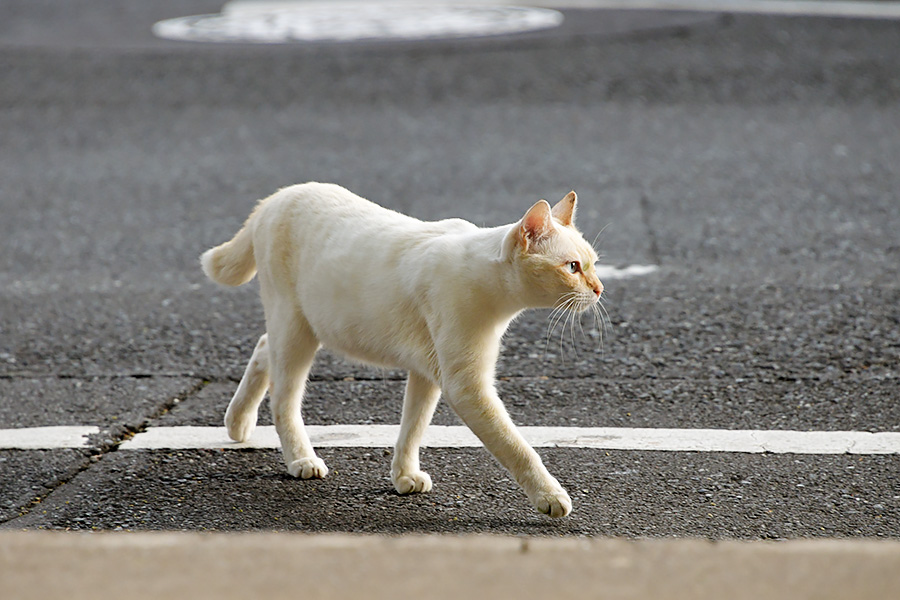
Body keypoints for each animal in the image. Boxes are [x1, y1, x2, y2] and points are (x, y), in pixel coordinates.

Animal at [200, 183, 600, 516]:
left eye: (594, 264)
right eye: (572, 267)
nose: (599, 289)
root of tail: (276, 197)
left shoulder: (428, 371)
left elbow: (414, 425)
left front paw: (404, 474)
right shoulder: (465, 385)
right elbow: (517, 447)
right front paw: (550, 495)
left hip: (301, 329)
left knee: (262, 348)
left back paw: (238, 421)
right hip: (295, 329)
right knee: (283, 400)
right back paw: (300, 459)